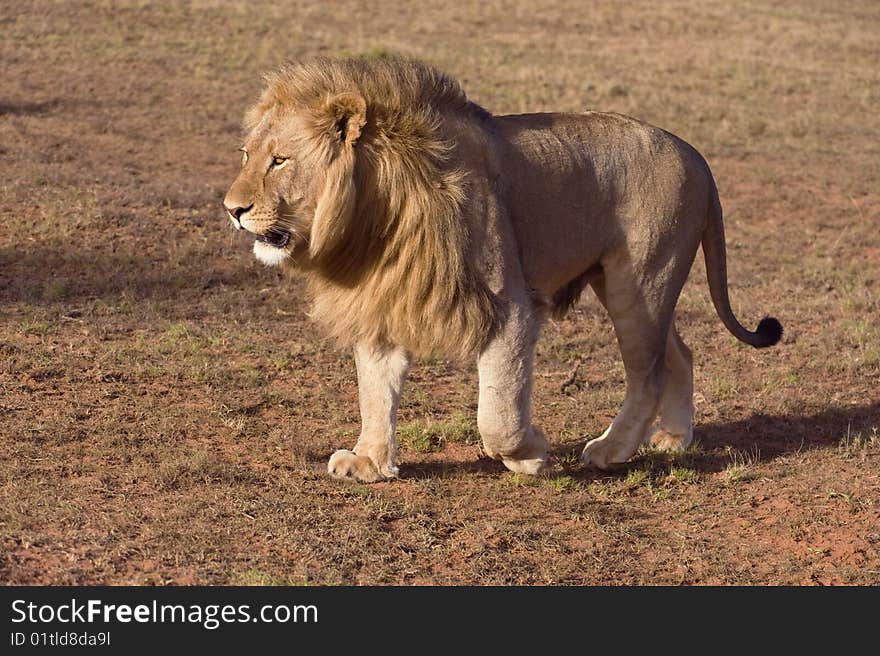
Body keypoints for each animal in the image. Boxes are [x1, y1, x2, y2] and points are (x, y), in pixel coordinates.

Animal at [222, 56, 784, 482]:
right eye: (247, 154)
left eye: (280, 160)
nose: (232, 209)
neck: (376, 217)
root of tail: (695, 154)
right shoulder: (384, 302)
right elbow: (375, 391)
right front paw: (369, 461)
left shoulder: (509, 305)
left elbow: (497, 414)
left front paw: (531, 455)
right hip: (631, 286)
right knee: (679, 355)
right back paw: (674, 437)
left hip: (641, 282)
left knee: (646, 373)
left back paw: (611, 449)